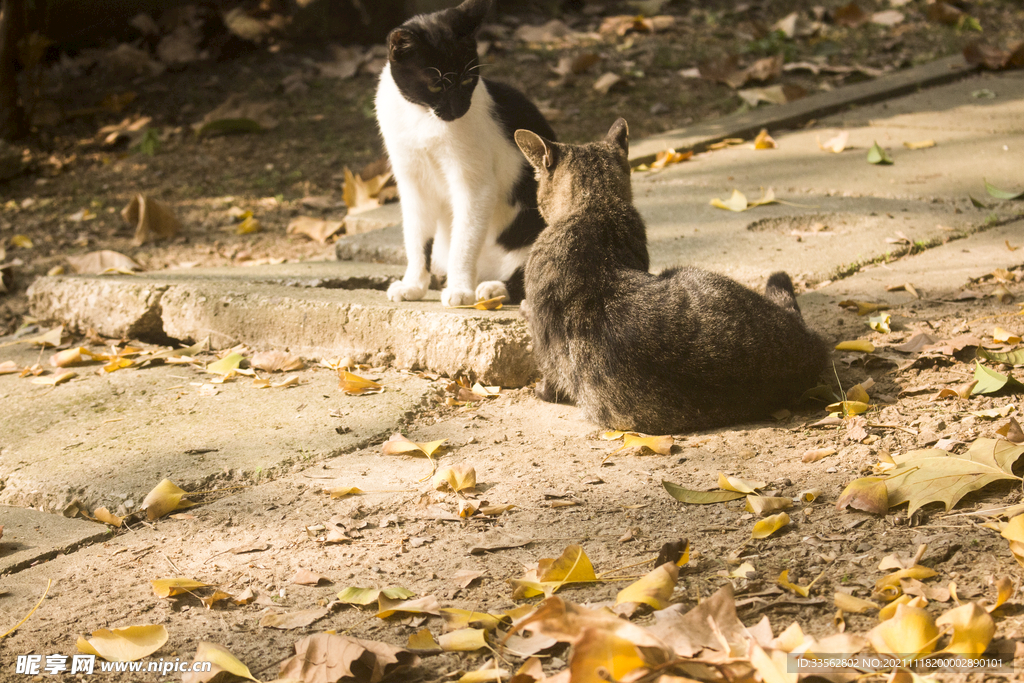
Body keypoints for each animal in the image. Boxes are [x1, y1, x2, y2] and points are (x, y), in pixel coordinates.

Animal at [374, 0, 552, 305]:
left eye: (469, 80)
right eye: (436, 84)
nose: (459, 109)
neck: (423, 118)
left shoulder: (475, 186)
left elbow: (464, 241)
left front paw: (458, 289)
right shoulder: (412, 183)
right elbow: (416, 239)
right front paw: (413, 286)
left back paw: (493, 289)